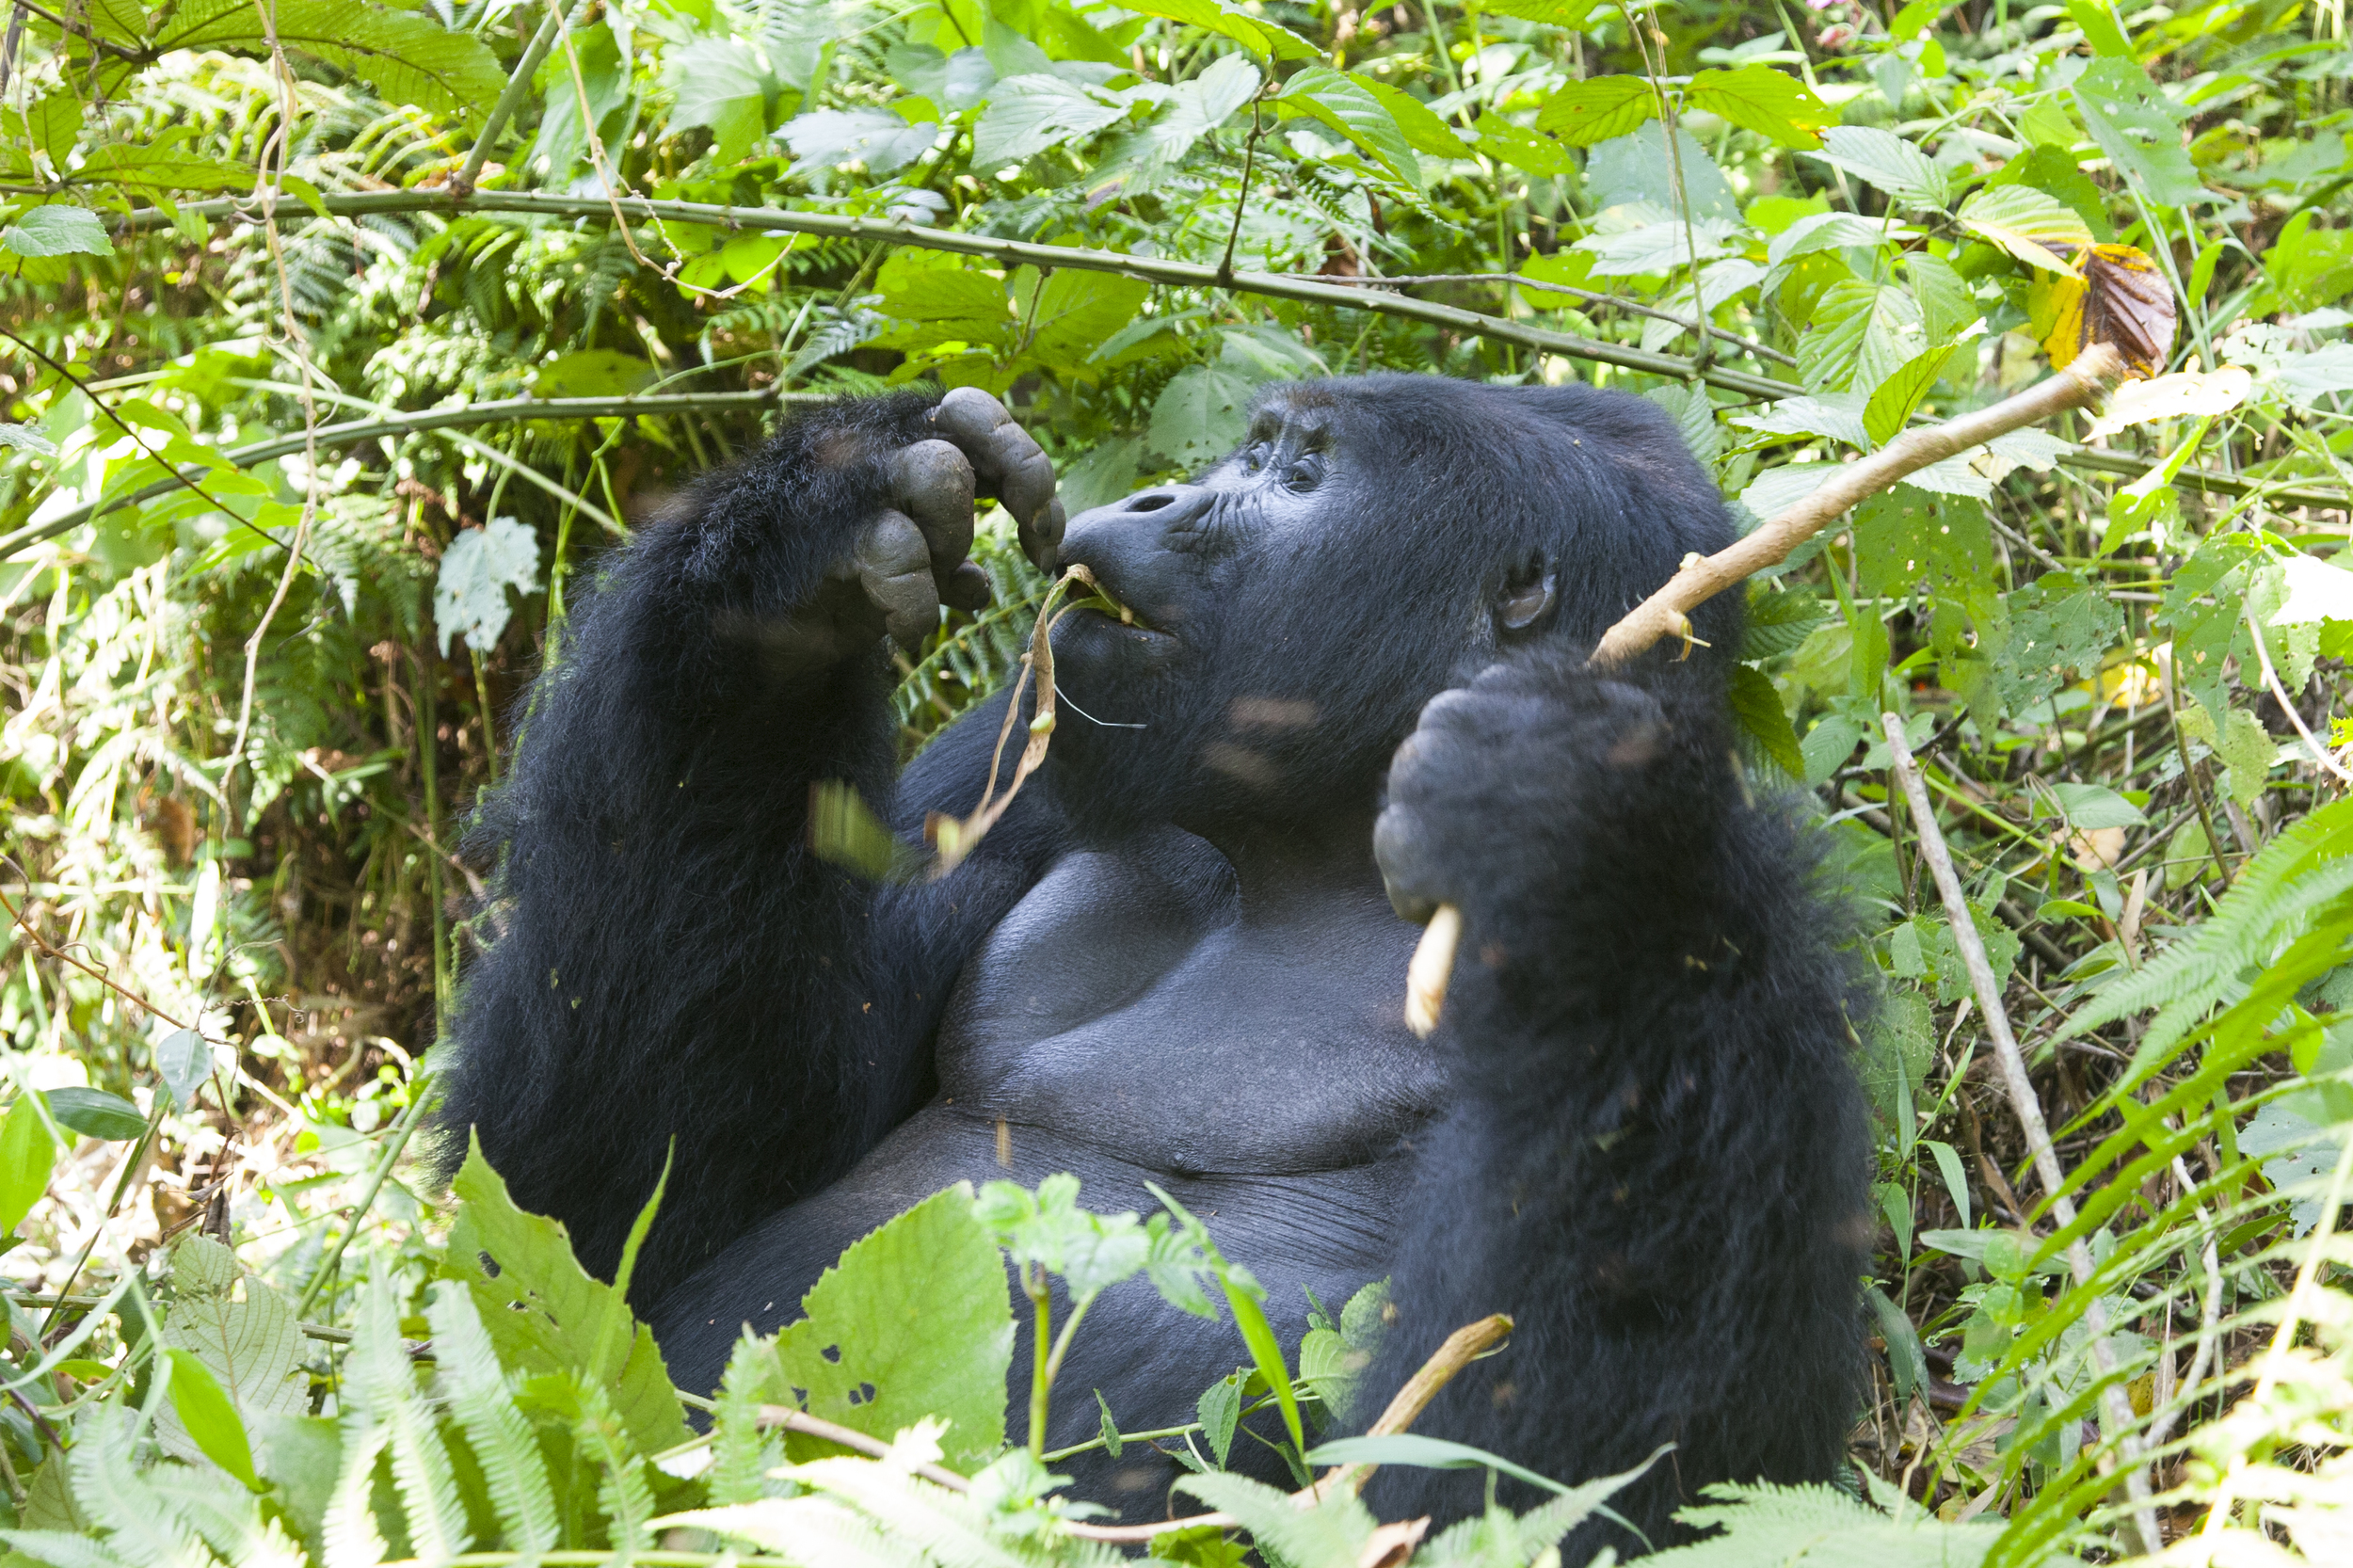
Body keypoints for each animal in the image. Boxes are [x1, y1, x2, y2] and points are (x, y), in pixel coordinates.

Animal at [433, 372, 1873, 1544]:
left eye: (1296, 474)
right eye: (1252, 446)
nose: (1155, 492)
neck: (1312, 851)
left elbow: (1561, 1471)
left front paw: (1591, 852)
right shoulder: (1016, 758)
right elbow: (609, 1204)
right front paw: (798, 560)